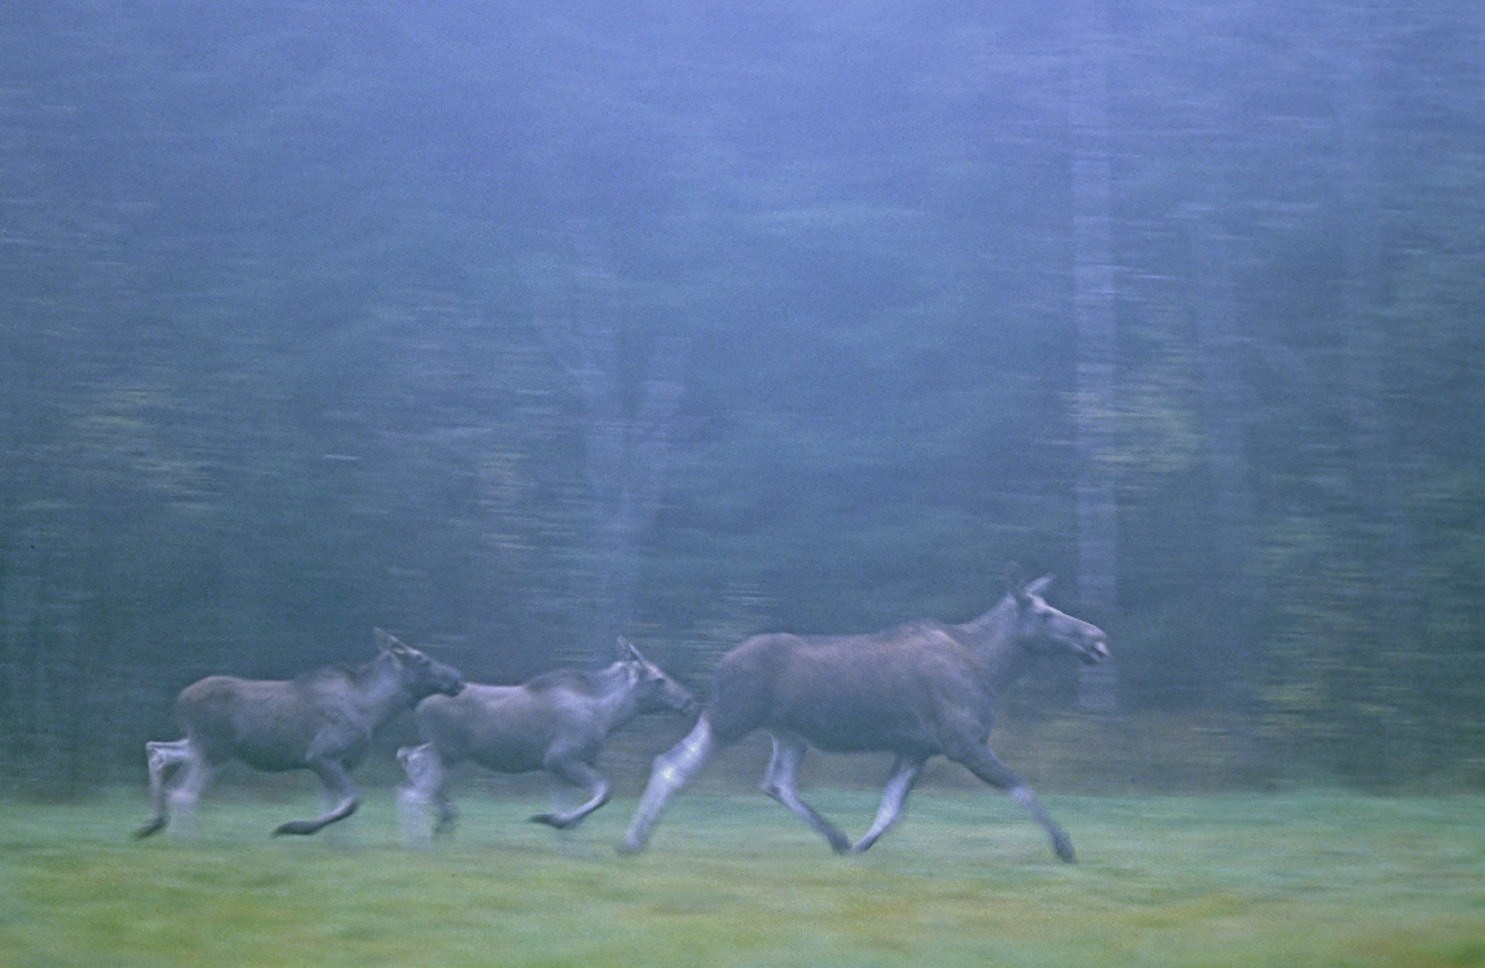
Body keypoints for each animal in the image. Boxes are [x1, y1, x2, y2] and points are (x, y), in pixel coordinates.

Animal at [140, 632, 463, 837]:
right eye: (423, 660)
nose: (457, 678)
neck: (373, 712)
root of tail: (179, 702)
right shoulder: (321, 755)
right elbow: (350, 804)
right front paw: (293, 828)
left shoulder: (339, 763)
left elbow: (336, 807)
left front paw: (340, 849)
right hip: (214, 748)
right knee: (183, 794)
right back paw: (186, 844)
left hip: (199, 743)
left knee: (158, 752)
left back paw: (152, 825)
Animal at [395, 635, 694, 837]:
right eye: (659, 679)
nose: (688, 700)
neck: (608, 715)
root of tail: (418, 704)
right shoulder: (561, 758)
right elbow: (604, 791)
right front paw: (556, 820)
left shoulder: (558, 768)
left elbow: (572, 803)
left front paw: (564, 828)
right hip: (447, 752)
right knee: (415, 787)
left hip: (443, 751)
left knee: (408, 757)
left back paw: (444, 818)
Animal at [617, 570, 1116, 861]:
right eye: (1046, 614)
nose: (1097, 637)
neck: (993, 668)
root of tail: (719, 666)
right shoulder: (963, 743)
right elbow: (1022, 787)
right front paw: (1064, 846)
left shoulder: (917, 749)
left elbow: (890, 809)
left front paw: (860, 845)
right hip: (730, 718)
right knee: (672, 764)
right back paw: (633, 841)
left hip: (788, 733)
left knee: (776, 782)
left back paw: (837, 838)